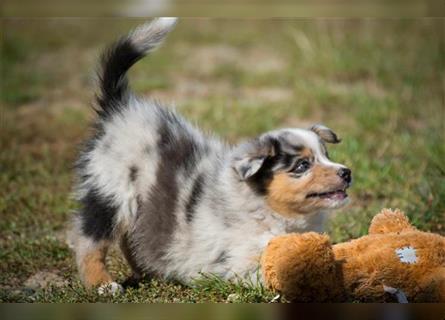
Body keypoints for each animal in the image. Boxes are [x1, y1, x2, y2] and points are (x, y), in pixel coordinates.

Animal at [69, 16, 352, 292]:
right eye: (302, 165)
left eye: (326, 155)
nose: (347, 173)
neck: (265, 208)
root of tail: (119, 110)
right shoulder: (241, 263)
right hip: (114, 192)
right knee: (89, 240)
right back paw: (102, 284)